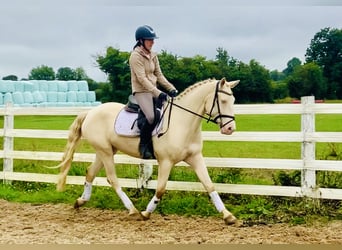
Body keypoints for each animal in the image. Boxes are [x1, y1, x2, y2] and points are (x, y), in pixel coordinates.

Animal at [56, 77, 238, 226]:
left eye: (233, 100)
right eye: (223, 101)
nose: (230, 129)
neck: (182, 123)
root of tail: (90, 112)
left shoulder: (195, 158)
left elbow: (210, 185)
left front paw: (228, 216)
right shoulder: (166, 162)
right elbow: (161, 189)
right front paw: (146, 213)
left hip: (105, 151)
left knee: (90, 173)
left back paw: (80, 202)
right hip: (105, 151)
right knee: (112, 179)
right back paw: (133, 210)